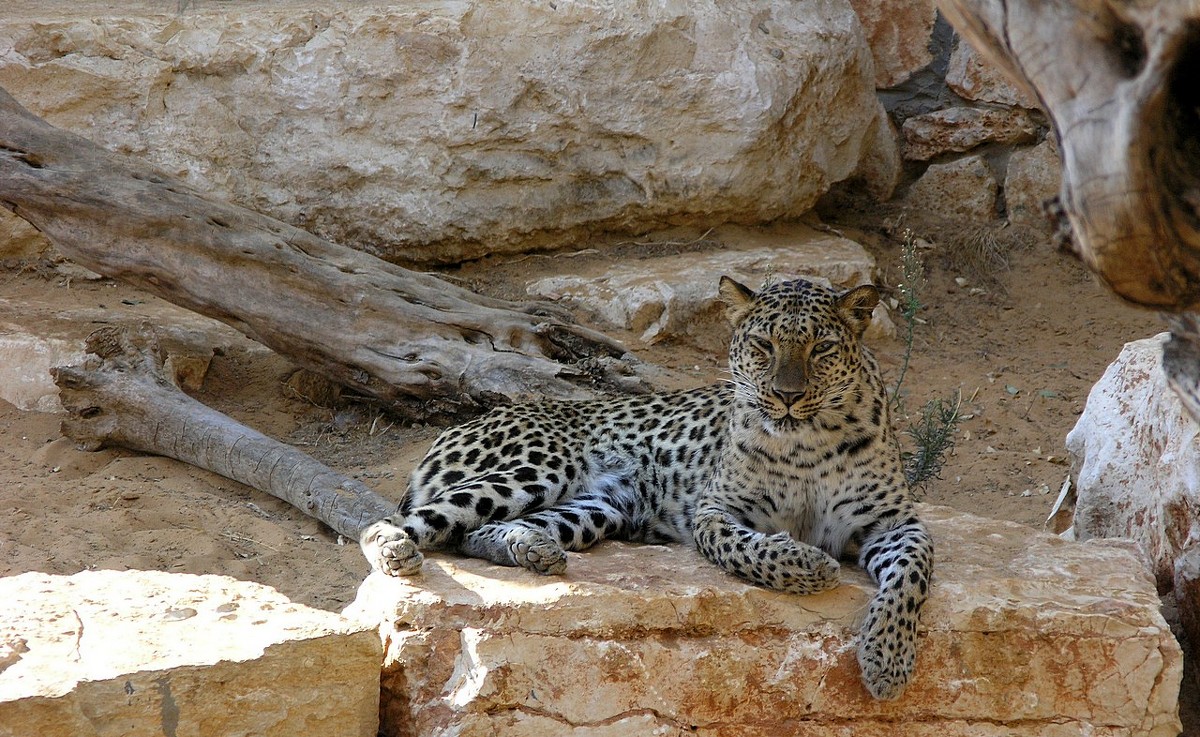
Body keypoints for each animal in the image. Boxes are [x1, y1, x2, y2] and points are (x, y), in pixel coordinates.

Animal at [360, 277, 931, 705]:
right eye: (764, 346)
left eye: (822, 348)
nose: (786, 396)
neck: (807, 441)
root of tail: (457, 427)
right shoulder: (715, 512)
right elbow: (750, 550)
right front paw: (811, 566)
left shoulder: (895, 521)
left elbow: (911, 577)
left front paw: (887, 660)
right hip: (537, 468)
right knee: (397, 524)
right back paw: (396, 551)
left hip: (600, 507)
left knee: (477, 533)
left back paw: (535, 551)